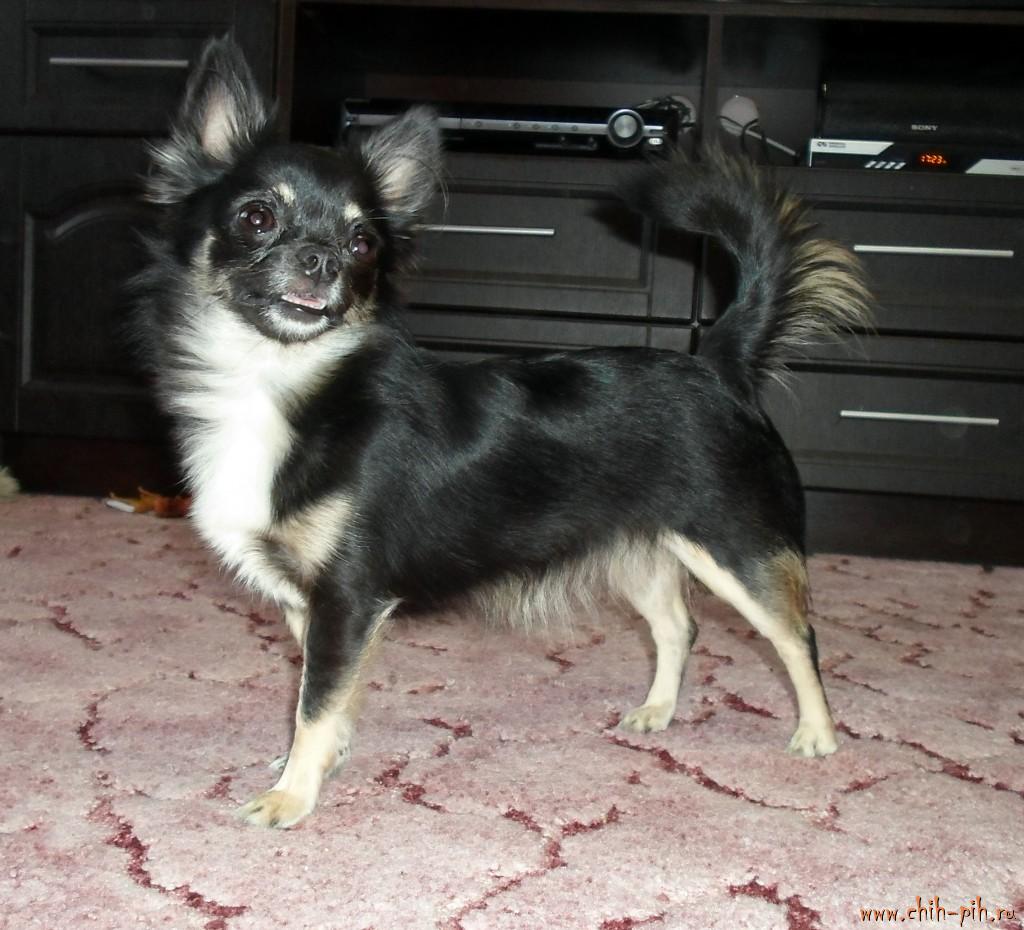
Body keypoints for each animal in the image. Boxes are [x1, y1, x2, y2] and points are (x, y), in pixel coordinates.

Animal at [135, 37, 871, 828]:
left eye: (363, 243)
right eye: (257, 218)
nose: (323, 260)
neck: (281, 382)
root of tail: (719, 362)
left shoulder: (348, 597)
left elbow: (315, 703)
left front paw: (291, 797)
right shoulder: (316, 606)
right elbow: (326, 698)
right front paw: (320, 766)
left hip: (738, 549)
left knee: (797, 637)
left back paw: (818, 733)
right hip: (642, 549)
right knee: (680, 627)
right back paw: (657, 712)